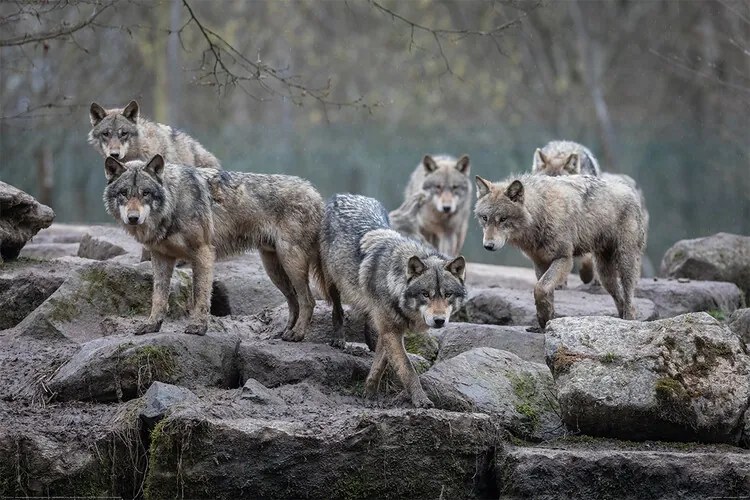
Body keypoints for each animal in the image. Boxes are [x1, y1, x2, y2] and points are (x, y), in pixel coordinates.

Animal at [100, 154, 324, 338]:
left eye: (145, 193)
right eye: (124, 193)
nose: (133, 218)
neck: (174, 202)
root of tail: (316, 193)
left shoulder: (203, 253)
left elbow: (200, 294)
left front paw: (198, 327)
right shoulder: (161, 257)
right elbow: (158, 297)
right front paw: (152, 325)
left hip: (291, 262)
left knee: (308, 300)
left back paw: (297, 334)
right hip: (273, 269)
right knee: (294, 300)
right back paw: (284, 332)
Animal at [320, 193, 468, 408]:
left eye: (447, 294)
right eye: (426, 294)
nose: (439, 320)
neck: (394, 282)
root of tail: (345, 195)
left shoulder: (390, 331)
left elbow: (380, 365)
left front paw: (369, 394)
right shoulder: (392, 331)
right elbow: (407, 369)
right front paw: (421, 400)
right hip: (332, 282)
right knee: (337, 309)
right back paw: (339, 338)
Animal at [476, 174, 648, 330]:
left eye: (503, 219)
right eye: (485, 218)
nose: (488, 245)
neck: (541, 212)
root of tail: (629, 189)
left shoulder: (564, 259)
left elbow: (540, 288)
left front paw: (544, 319)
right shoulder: (540, 262)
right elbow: (545, 291)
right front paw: (546, 320)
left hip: (625, 262)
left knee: (629, 297)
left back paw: (629, 321)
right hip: (605, 275)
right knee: (619, 298)